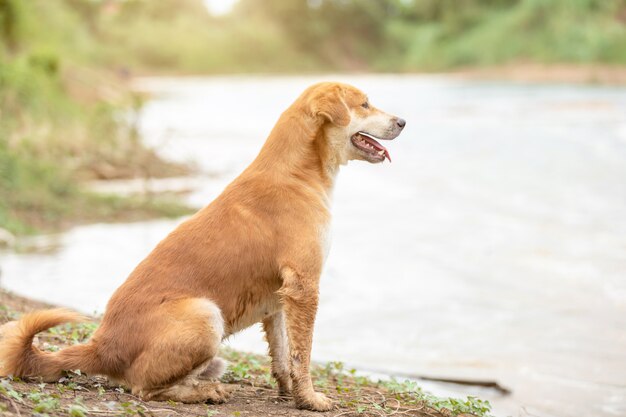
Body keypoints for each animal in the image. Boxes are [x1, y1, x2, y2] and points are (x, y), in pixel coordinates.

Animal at [0, 81, 404, 410]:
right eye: (365, 104)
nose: (403, 122)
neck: (297, 173)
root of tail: (100, 346)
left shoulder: (280, 299)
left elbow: (283, 355)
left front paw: (290, 394)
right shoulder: (304, 286)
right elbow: (302, 356)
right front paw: (310, 399)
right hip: (206, 315)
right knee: (144, 388)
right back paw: (203, 391)